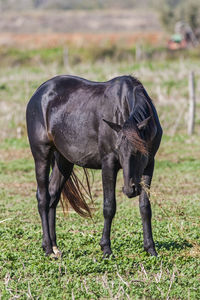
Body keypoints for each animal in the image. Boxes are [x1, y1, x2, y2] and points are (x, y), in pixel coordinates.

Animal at [26, 74, 162, 258]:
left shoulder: (149, 165)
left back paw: (54, 246)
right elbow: (109, 206)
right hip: (41, 155)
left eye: (140, 151)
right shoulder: (109, 163)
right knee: (43, 198)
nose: (130, 190)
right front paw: (106, 249)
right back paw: (48, 248)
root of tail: (39, 93)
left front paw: (150, 248)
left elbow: (145, 207)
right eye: (118, 150)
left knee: (53, 196)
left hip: (64, 160)